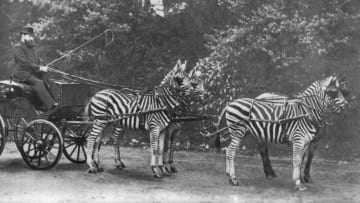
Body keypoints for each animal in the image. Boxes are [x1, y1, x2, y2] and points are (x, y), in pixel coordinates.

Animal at [214, 75, 348, 190]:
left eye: (343, 91)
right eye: (333, 92)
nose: (346, 106)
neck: (306, 112)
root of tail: (230, 103)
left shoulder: (307, 141)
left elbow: (302, 160)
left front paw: (300, 179)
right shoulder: (299, 140)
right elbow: (297, 160)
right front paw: (298, 183)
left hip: (243, 131)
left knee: (229, 149)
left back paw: (229, 173)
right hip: (238, 131)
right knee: (231, 152)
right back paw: (234, 179)